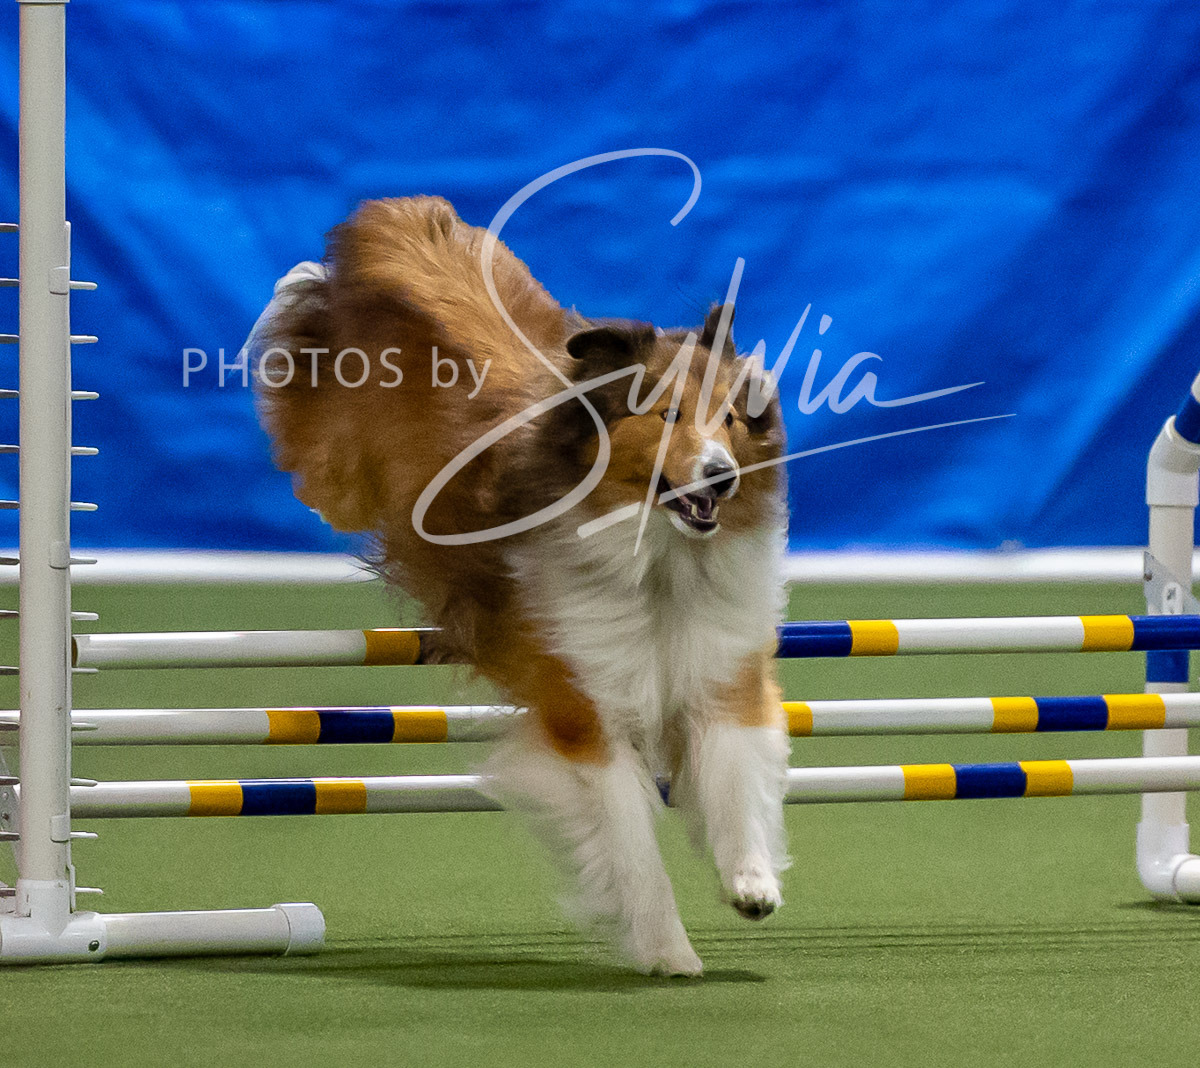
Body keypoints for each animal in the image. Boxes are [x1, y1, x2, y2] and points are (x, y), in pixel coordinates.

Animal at [251, 196, 791, 976]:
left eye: (727, 417)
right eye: (665, 416)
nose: (721, 476)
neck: (658, 565)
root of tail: (400, 214)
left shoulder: (719, 672)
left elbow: (735, 782)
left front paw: (751, 883)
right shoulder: (583, 711)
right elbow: (632, 846)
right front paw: (667, 948)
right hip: (332, 464)